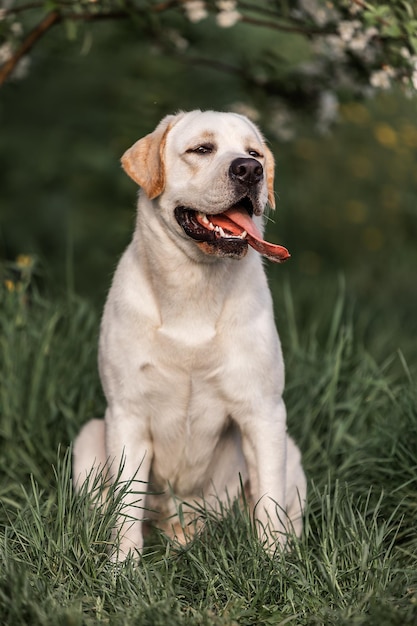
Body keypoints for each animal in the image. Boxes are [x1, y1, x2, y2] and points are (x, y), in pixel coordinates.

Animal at [72, 109, 306, 560]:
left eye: (254, 153)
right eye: (202, 149)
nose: (250, 170)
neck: (194, 286)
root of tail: (181, 526)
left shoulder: (263, 412)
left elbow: (268, 502)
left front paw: (273, 564)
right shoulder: (127, 413)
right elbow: (126, 506)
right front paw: (122, 566)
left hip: (290, 454)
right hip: (88, 438)